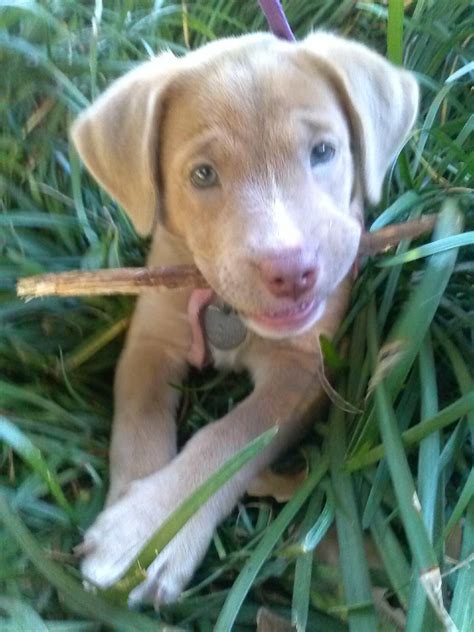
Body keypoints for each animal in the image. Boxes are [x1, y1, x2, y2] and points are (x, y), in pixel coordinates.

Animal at [71, 32, 418, 604]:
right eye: (203, 175)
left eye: (323, 152)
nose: (292, 271)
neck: (227, 308)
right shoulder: (151, 338)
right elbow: (139, 421)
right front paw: (137, 521)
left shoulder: (306, 368)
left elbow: (230, 439)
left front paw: (152, 531)